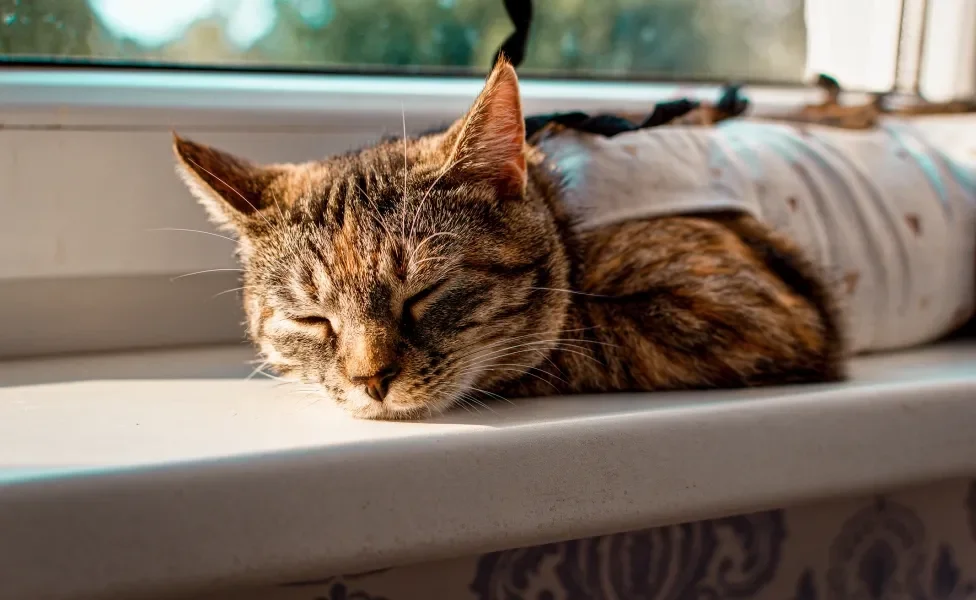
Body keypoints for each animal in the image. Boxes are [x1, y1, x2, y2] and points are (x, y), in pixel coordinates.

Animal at [175, 58, 848, 420]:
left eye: (426, 293)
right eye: (311, 319)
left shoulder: (747, 314)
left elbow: (570, 342)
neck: (564, 206)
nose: (372, 382)